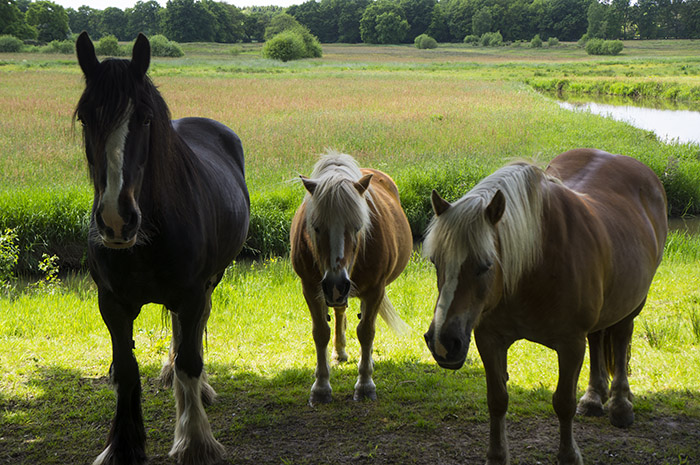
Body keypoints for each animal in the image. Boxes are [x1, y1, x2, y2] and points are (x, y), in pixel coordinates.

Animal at [73, 30, 249, 462]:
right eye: (85, 117)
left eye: (145, 118)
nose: (116, 219)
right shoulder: (111, 303)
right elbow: (126, 369)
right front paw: (122, 445)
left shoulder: (193, 293)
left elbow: (190, 360)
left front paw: (195, 440)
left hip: (211, 281)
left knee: (193, 338)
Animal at [288, 150, 410, 404]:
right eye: (316, 227)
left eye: (357, 226)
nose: (337, 285)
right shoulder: (311, 288)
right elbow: (320, 333)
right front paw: (321, 387)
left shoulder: (375, 290)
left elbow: (366, 332)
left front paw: (365, 384)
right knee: (339, 312)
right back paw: (340, 352)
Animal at [422, 150, 668, 464]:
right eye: (435, 262)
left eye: (486, 265)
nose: (442, 342)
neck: (534, 264)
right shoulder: (488, 338)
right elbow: (497, 399)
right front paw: (497, 455)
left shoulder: (571, 344)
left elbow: (563, 402)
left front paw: (569, 455)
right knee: (597, 338)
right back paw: (593, 398)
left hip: (633, 303)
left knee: (622, 338)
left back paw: (620, 405)